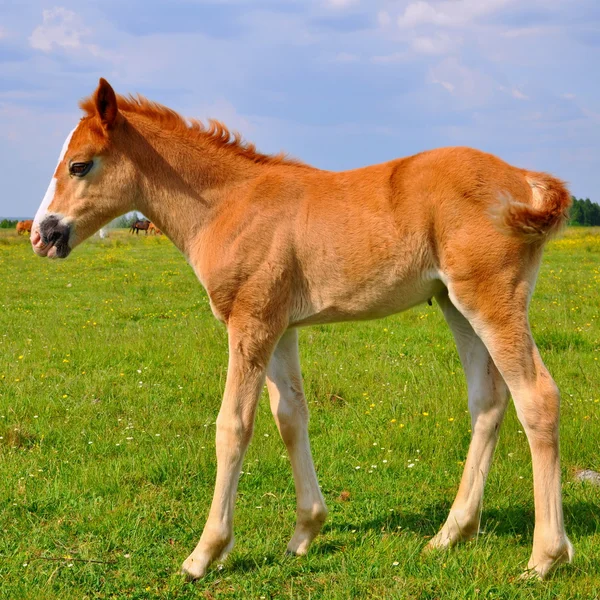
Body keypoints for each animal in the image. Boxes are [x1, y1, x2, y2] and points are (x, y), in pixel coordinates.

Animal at [30, 78, 576, 580]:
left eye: (80, 164)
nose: (42, 235)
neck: (229, 205)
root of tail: (524, 181)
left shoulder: (249, 323)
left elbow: (233, 426)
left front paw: (204, 554)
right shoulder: (279, 326)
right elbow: (290, 415)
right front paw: (305, 532)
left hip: (490, 299)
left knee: (537, 397)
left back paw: (545, 557)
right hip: (454, 305)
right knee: (488, 401)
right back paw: (449, 535)